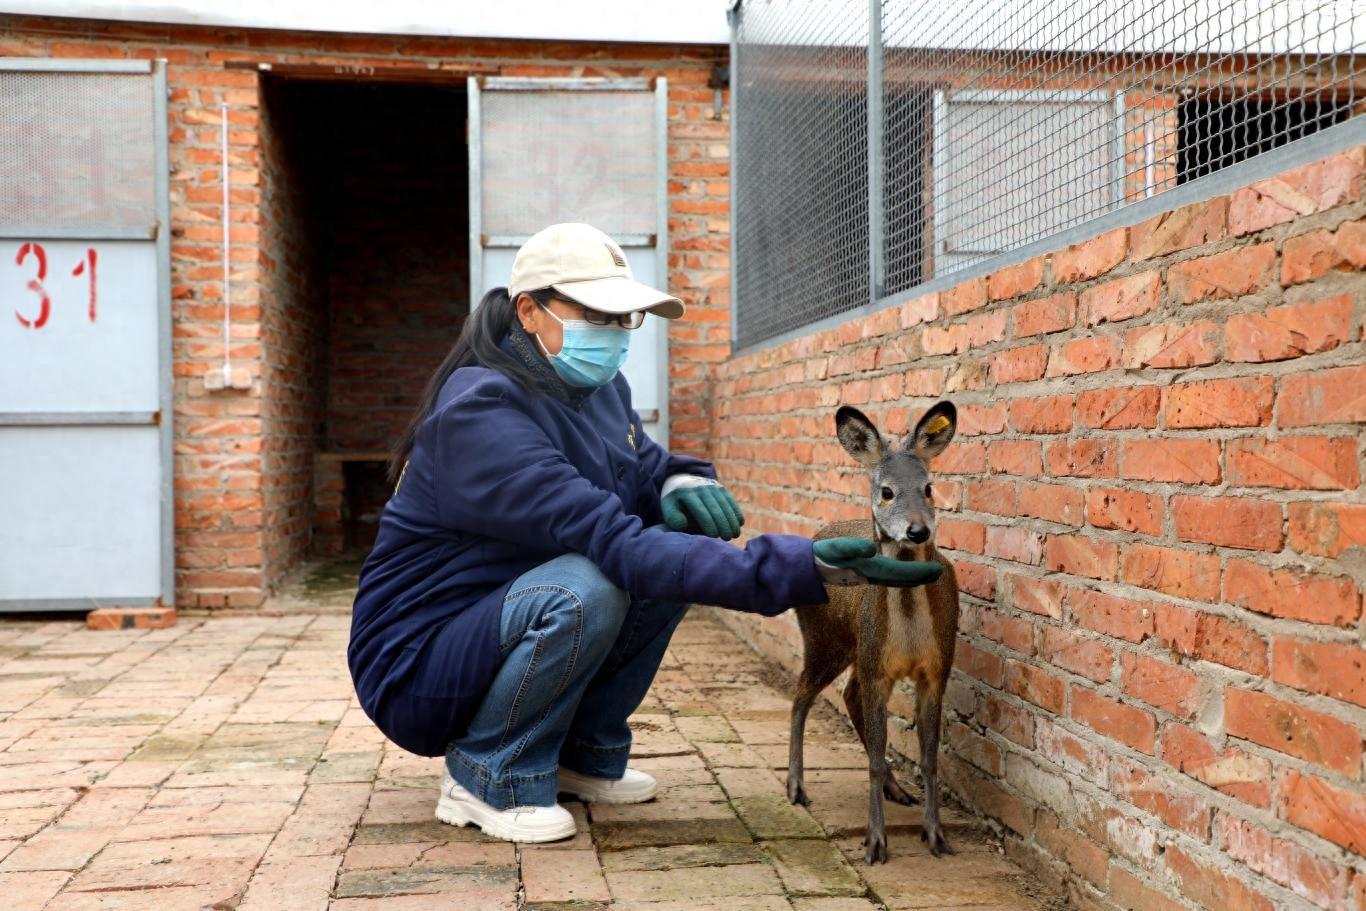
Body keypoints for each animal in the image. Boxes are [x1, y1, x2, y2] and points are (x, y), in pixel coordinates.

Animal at [792, 401, 961, 868]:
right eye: (886, 491)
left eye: (929, 487)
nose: (918, 530)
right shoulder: (876, 667)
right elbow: (871, 759)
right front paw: (875, 843)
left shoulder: (937, 669)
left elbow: (929, 759)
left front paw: (936, 835)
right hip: (824, 638)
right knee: (800, 696)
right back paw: (796, 788)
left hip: (849, 649)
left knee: (845, 695)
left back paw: (896, 788)